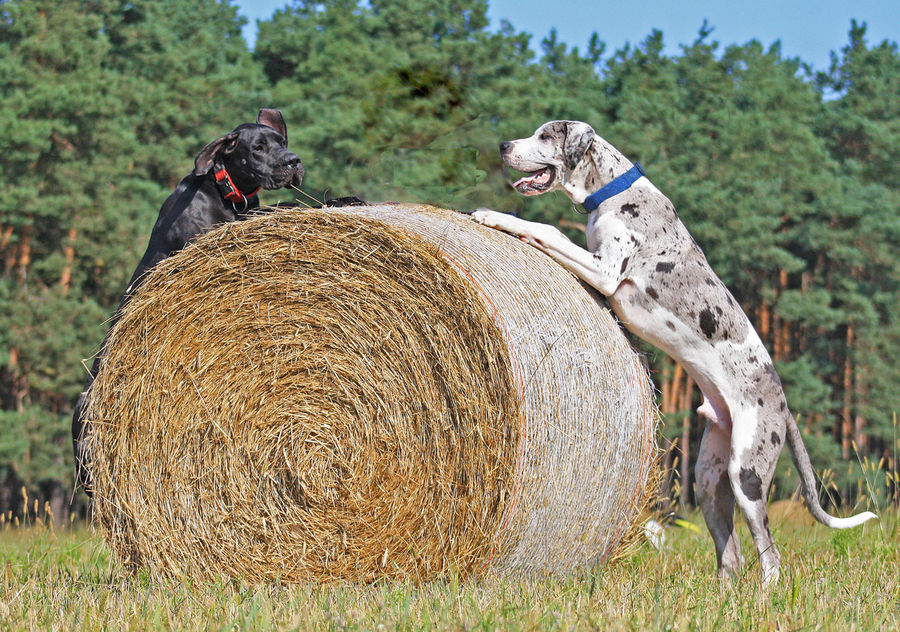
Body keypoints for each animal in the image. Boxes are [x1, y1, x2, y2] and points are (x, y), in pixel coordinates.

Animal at [72, 107, 304, 494]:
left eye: (281, 141)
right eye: (257, 147)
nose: (293, 161)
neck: (225, 190)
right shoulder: (211, 234)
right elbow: (278, 208)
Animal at [474, 121, 876, 584]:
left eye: (544, 136)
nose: (503, 145)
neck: (613, 192)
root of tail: (783, 404)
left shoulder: (605, 270)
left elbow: (547, 228)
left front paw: (495, 217)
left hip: (747, 473)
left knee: (770, 555)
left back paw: (766, 595)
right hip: (708, 480)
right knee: (731, 555)